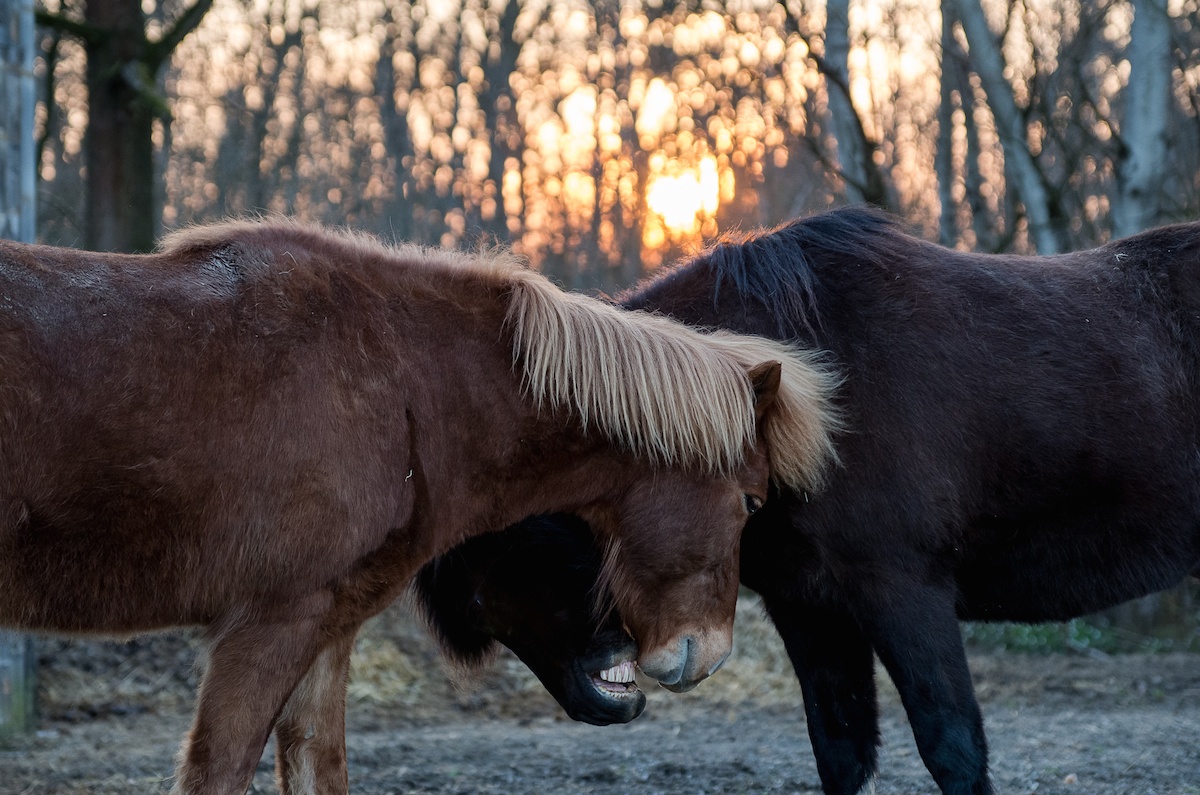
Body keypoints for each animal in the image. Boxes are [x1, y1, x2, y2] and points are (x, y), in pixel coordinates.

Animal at [0, 219, 840, 795]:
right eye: (751, 499)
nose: (705, 653)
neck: (404, 389)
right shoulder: (267, 625)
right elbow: (221, 770)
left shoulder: (323, 630)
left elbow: (319, 767)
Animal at [415, 206, 1200, 795]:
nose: (668, 660)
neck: (816, 403)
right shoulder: (810, 608)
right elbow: (842, 751)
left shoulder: (905, 593)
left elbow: (953, 748)